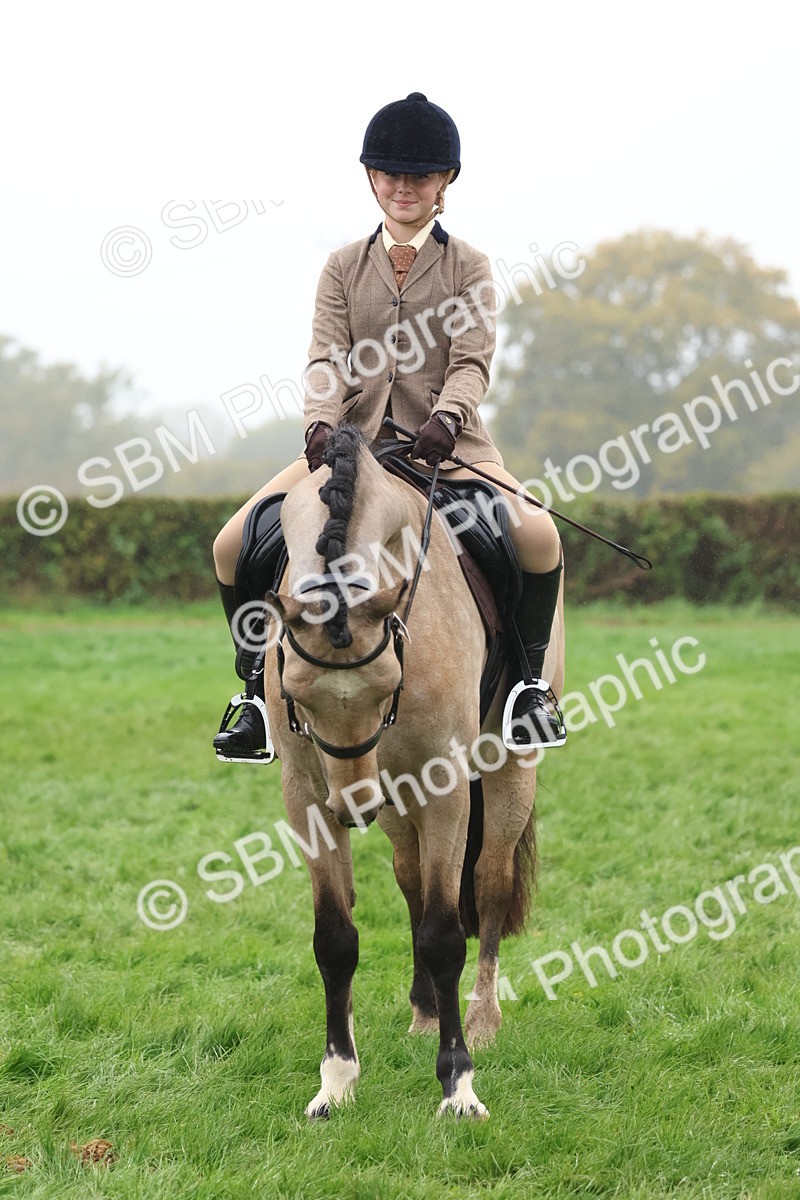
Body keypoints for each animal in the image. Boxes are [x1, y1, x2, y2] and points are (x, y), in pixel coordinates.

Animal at [263, 425, 565, 1120]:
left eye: (386, 688)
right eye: (296, 694)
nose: (354, 806)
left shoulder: (446, 782)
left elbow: (445, 934)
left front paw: (459, 1085)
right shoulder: (306, 796)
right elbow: (335, 938)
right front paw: (336, 1082)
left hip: (506, 768)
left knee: (488, 882)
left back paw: (481, 1017)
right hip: (398, 800)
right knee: (411, 880)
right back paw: (426, 1013)